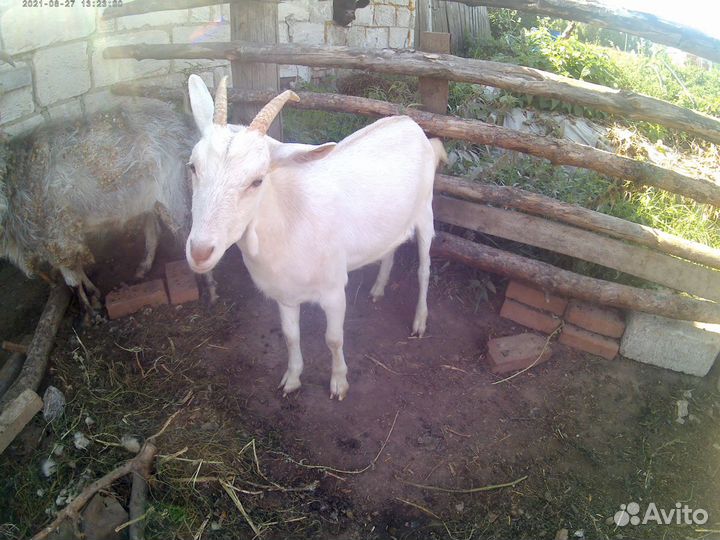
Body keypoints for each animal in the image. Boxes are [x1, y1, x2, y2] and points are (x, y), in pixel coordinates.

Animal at [0, 100, 215, 314]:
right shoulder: (66, 239)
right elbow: (78, 272)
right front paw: (93, 293)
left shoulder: (57, 238)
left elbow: (73, 282)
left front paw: (89, 312)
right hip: (150, 199)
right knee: (153, 232)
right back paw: (143, 268)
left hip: (175, 195)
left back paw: (211, 290)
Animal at [185, 75, 445, 400]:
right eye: (192, 167)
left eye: (257, 180)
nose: (200, 251)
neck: (289, 218)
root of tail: (411, 123)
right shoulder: (283, 293)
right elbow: (290, 336)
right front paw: (292, 379)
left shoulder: (334, 289)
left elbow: (333, 338)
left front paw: (338, 383)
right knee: (390, 248)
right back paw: (378, 288)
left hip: (425, 212)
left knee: (424, 269)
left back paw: (420, 321)